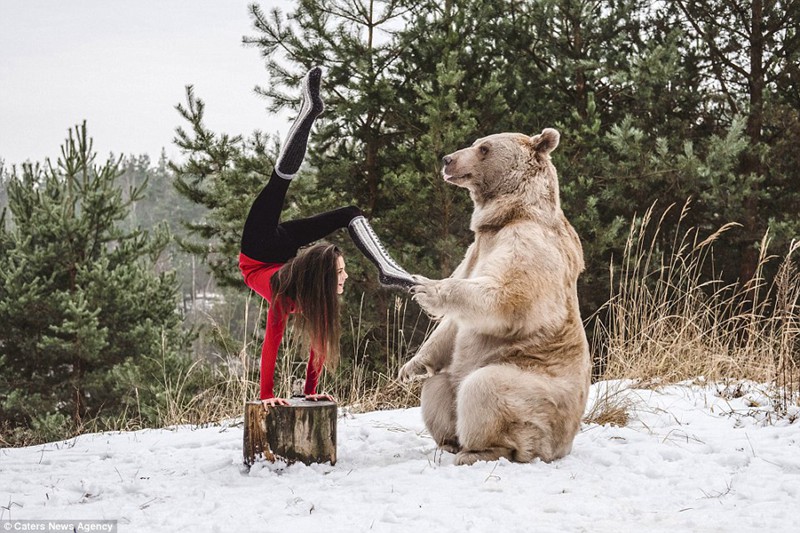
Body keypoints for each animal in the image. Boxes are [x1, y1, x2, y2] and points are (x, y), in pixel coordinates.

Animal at [398, 129, 592, 466]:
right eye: (476, 143)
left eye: (484, 148)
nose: (448, 159)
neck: (506, 216)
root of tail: (564, 445)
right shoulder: (474, 251)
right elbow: (452, 325)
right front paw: (411, 367)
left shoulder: (526, 241)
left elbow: (507, 296)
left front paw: (426, 287)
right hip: (459, 374)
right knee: (437, 387)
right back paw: (450, 442)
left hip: (537, 387)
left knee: (485, 389)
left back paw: (480, 450)